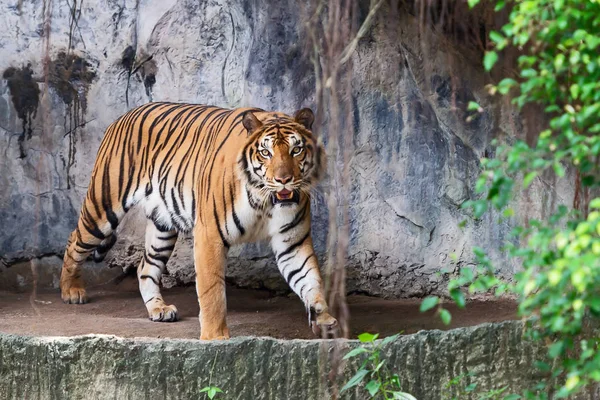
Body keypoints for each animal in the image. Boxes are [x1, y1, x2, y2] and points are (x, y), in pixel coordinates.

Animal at [59, 101, 338, 340]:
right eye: (265, 153)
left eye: (296, 150)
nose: (283, 180)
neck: (265, 200)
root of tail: (125, 115)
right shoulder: (210, 235)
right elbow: (212, 291)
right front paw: (216, 337)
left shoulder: (292, 240)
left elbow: (310, 278)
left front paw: (323, 318)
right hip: (102, 207)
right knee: (74, 241)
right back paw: (71, 291)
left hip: (162, 225)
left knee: (145, 266)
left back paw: (158, 309)